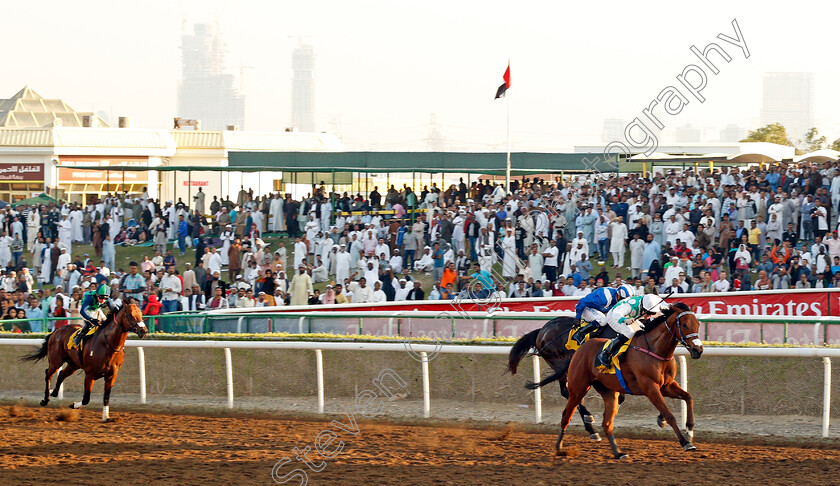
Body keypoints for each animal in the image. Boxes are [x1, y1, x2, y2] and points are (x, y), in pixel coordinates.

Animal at [19, 300, 148, 422]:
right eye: (130, 315)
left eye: (141, 314)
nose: (144, 330)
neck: (108, 344)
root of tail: (55, 331)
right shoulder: (90, 375)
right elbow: (86, 399)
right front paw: (73, 405)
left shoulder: (112, 375)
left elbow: (106, 397)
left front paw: (106, 417)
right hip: (56, 361)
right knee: (48, 374)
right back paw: (46, 399)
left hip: (73, 364)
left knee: (61, 374)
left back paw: (54, 392)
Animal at [556, 302, 704, 458]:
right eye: (684, 325)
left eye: (698, 324)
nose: (698, 350)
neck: (655, 350)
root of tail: (579, 349)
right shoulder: (650, 387)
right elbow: (669, 415)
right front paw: (685, 442)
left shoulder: (666, 386)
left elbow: (689, 397)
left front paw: (689, 432)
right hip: (578, 388)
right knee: (566, 415)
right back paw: (559, 447)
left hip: (609, 392)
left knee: (607, 423)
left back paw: (618, 452)